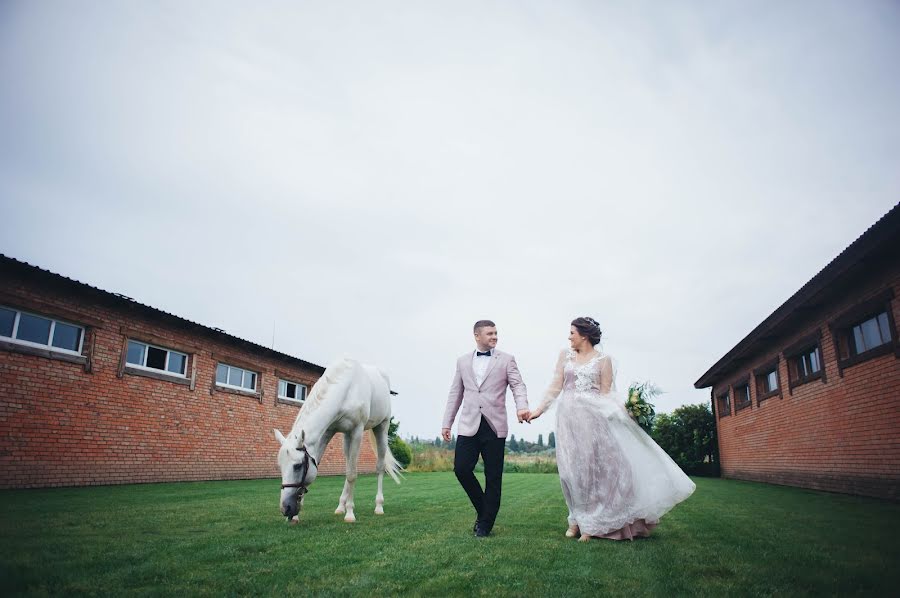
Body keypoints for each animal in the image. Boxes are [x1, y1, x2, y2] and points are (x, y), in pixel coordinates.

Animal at [272, 356, 402, 524]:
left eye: (298, 466)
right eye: (280, 466)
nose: (286, 508)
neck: (346, 388)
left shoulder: (357, 431)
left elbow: (352, 474)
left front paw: (350, 513)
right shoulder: (328, 431)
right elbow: (340, 469)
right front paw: (296, 516)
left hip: (382, 427)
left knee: (379, 467)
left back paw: (378, 506)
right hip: (347, 436)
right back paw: (341, 506)